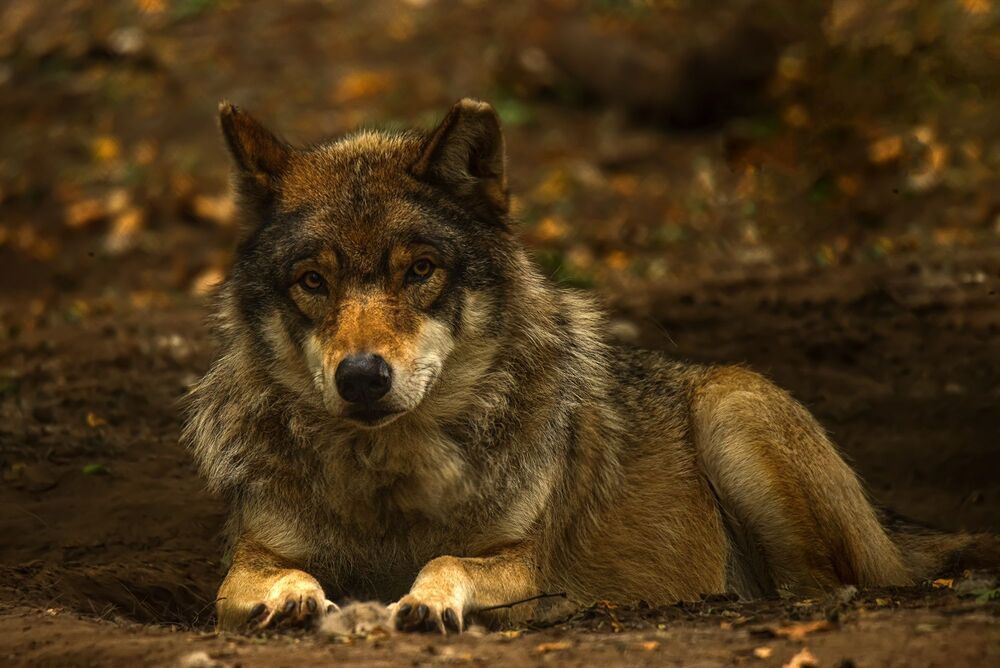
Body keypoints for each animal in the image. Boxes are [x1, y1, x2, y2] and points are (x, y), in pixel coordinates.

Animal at [184, 98, 968, 634]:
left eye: (421, 270)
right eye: (312, 281)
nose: (363, 378)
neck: (389, 487)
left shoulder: (527, 568)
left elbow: (446, 562)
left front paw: (427, 601)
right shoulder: (247, 559)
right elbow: (261, 580)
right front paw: (294, 597)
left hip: (731, 404)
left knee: (821, 586)